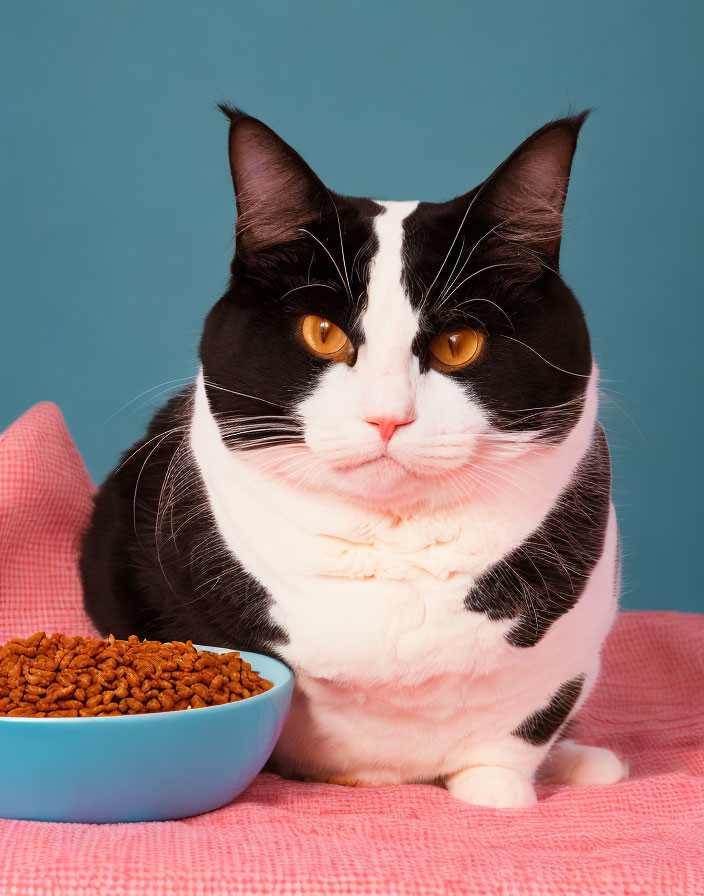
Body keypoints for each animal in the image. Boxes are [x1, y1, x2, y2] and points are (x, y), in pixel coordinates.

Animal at [81, 105, 628, 804]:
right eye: (323, 333)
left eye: (458, 343)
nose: (388, 416)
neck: (392, 546)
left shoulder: (568, 654)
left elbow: (515, 736)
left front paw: (500, 796)